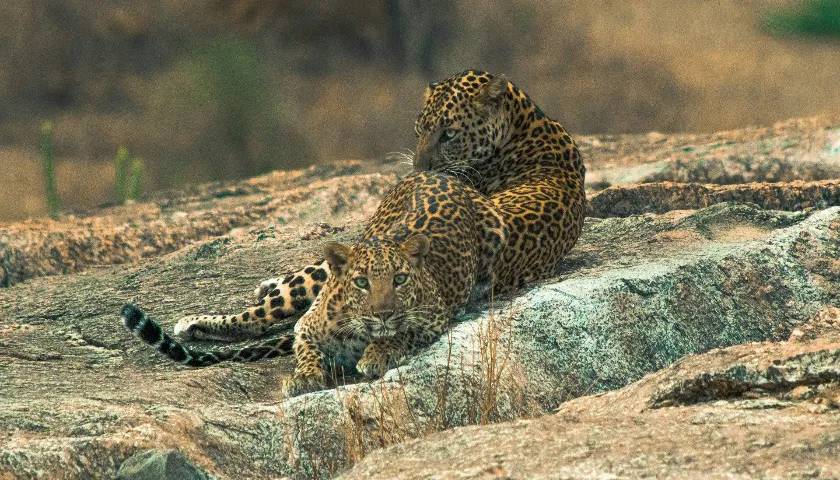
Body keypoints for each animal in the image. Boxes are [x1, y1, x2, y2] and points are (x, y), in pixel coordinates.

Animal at [172, 69, 584, 344]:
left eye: (449, 134)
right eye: (419, 130)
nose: (418, 168)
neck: (525, 122)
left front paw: (271, 282)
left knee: (261, 316)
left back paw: (193, 323)